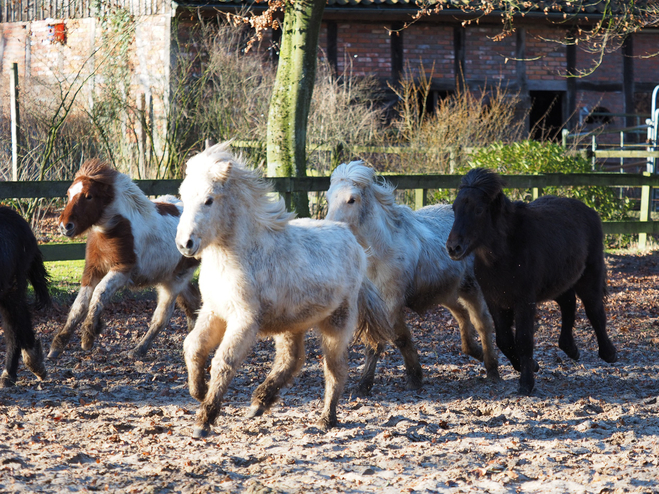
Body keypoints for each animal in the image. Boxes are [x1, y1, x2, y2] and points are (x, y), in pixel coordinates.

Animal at [49, 160, 200, 360]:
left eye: (89, 196)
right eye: (68, 194)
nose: (65, 226)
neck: (112, 229)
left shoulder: (122, 270)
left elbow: (99, 293)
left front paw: (89, 335)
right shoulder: (92, 270)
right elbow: (79, 305)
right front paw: (57, 345)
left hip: (175, 281)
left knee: (162, 317)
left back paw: (138, 350)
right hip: (171, 276)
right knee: (193, 305)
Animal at [174, 142, 398, 436]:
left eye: (209, 200)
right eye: (183, 196)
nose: (185, 244)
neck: (242, 254)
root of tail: (354, 242)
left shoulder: (244, 320)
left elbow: (224, 360)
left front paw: (205, 419)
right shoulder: (214, 311)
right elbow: (193, 346)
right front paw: (199, 392)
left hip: (337, 322)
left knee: (335, 368)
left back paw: (326, 419)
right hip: (292, 322)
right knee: (292, 359)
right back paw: (259, 403)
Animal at [328, 160, 498, 392]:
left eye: (351, 199)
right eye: (328, 197)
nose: (329, 228)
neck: (382, 250)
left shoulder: (390, 301)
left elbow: (379, 342)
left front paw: (364, 385)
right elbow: (400, 339)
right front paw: (415, 376)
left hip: (472, 288)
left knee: (483, 322)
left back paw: (492, 369)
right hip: (448, 292)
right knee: (463, 315)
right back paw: (476, 352)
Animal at [448, 168, 620, 396]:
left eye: (478, 209)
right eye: (454, 208)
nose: (453, 248)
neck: (504, 254)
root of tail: (588, 210)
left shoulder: (524, 301)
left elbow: (523, 340)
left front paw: (526, 383)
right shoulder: (495, 301)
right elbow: (503, 339)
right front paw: (528, 366)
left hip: (589, 276)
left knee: (594, 311)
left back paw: (608, 353)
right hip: (557, 282)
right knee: (568, 303)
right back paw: (570, 348)